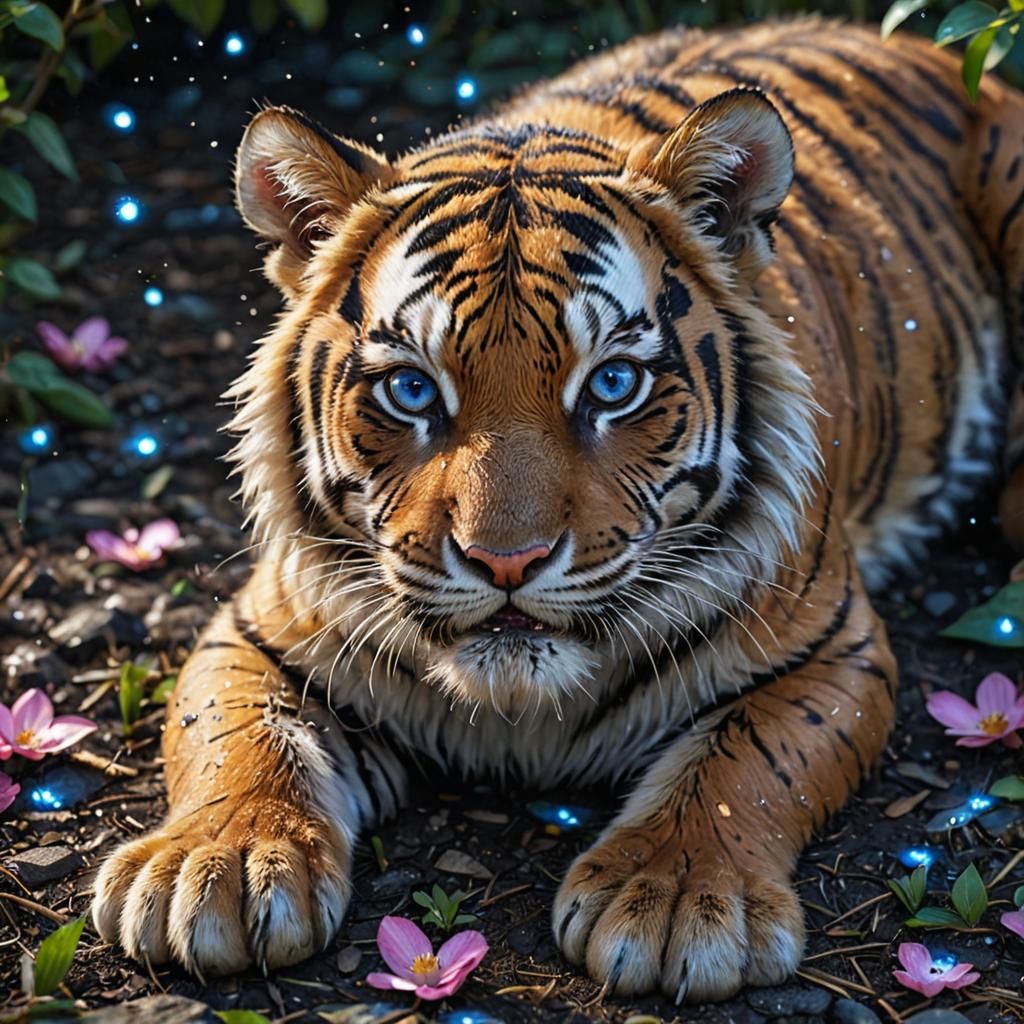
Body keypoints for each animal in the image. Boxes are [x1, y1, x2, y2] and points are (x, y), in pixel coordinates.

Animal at [91, 18, 1024, 1002]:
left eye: (612, 384)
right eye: (412, 390)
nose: (507, 561)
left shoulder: (833, 648)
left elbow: (746, 759)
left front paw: (677, 896)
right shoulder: (258, 627)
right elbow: (237, 733)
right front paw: (215, 864)